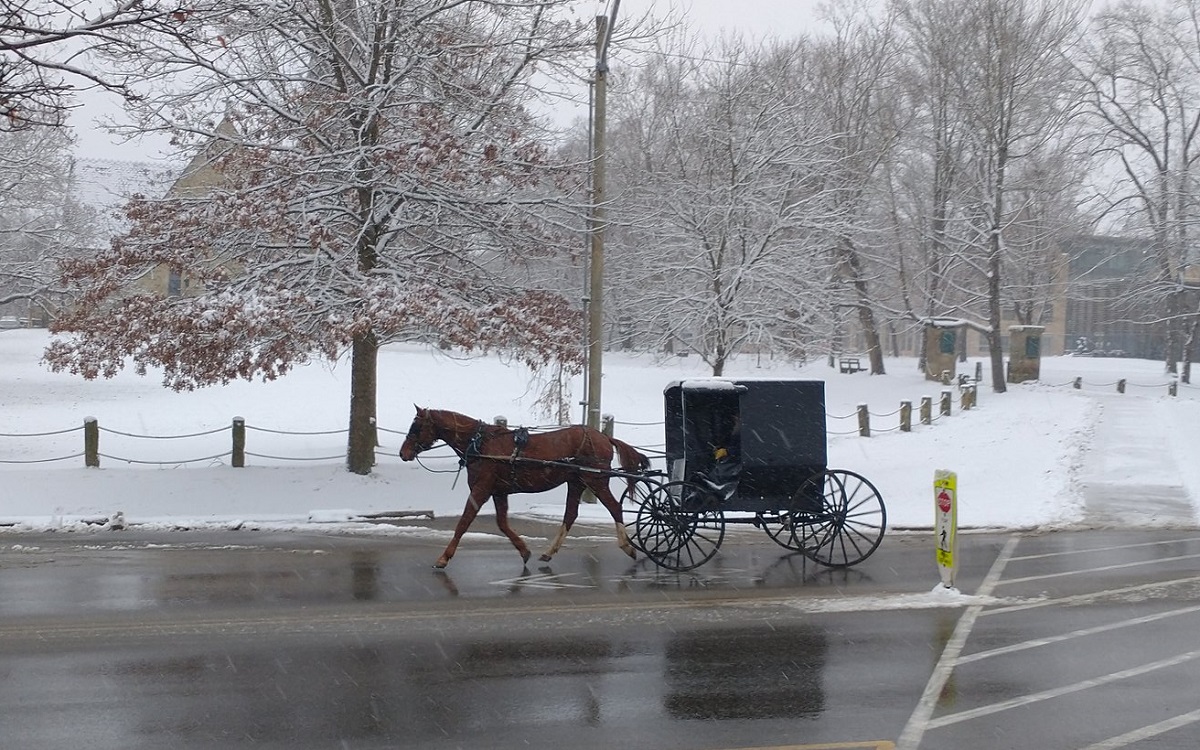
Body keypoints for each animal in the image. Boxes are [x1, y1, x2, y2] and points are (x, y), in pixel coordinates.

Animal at [400, 405, 648, 564]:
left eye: (416, 427)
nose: (403, 453)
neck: (480, 444)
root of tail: (603, 437)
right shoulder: (498, 491)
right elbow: (502, 523)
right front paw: (524, 550)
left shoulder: (481, 488)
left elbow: (464, 523)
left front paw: (444, 557)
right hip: (576, 482)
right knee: (570, 515)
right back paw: (549, 552)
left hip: (595, 480)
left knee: (614, 507)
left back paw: (627, 546)